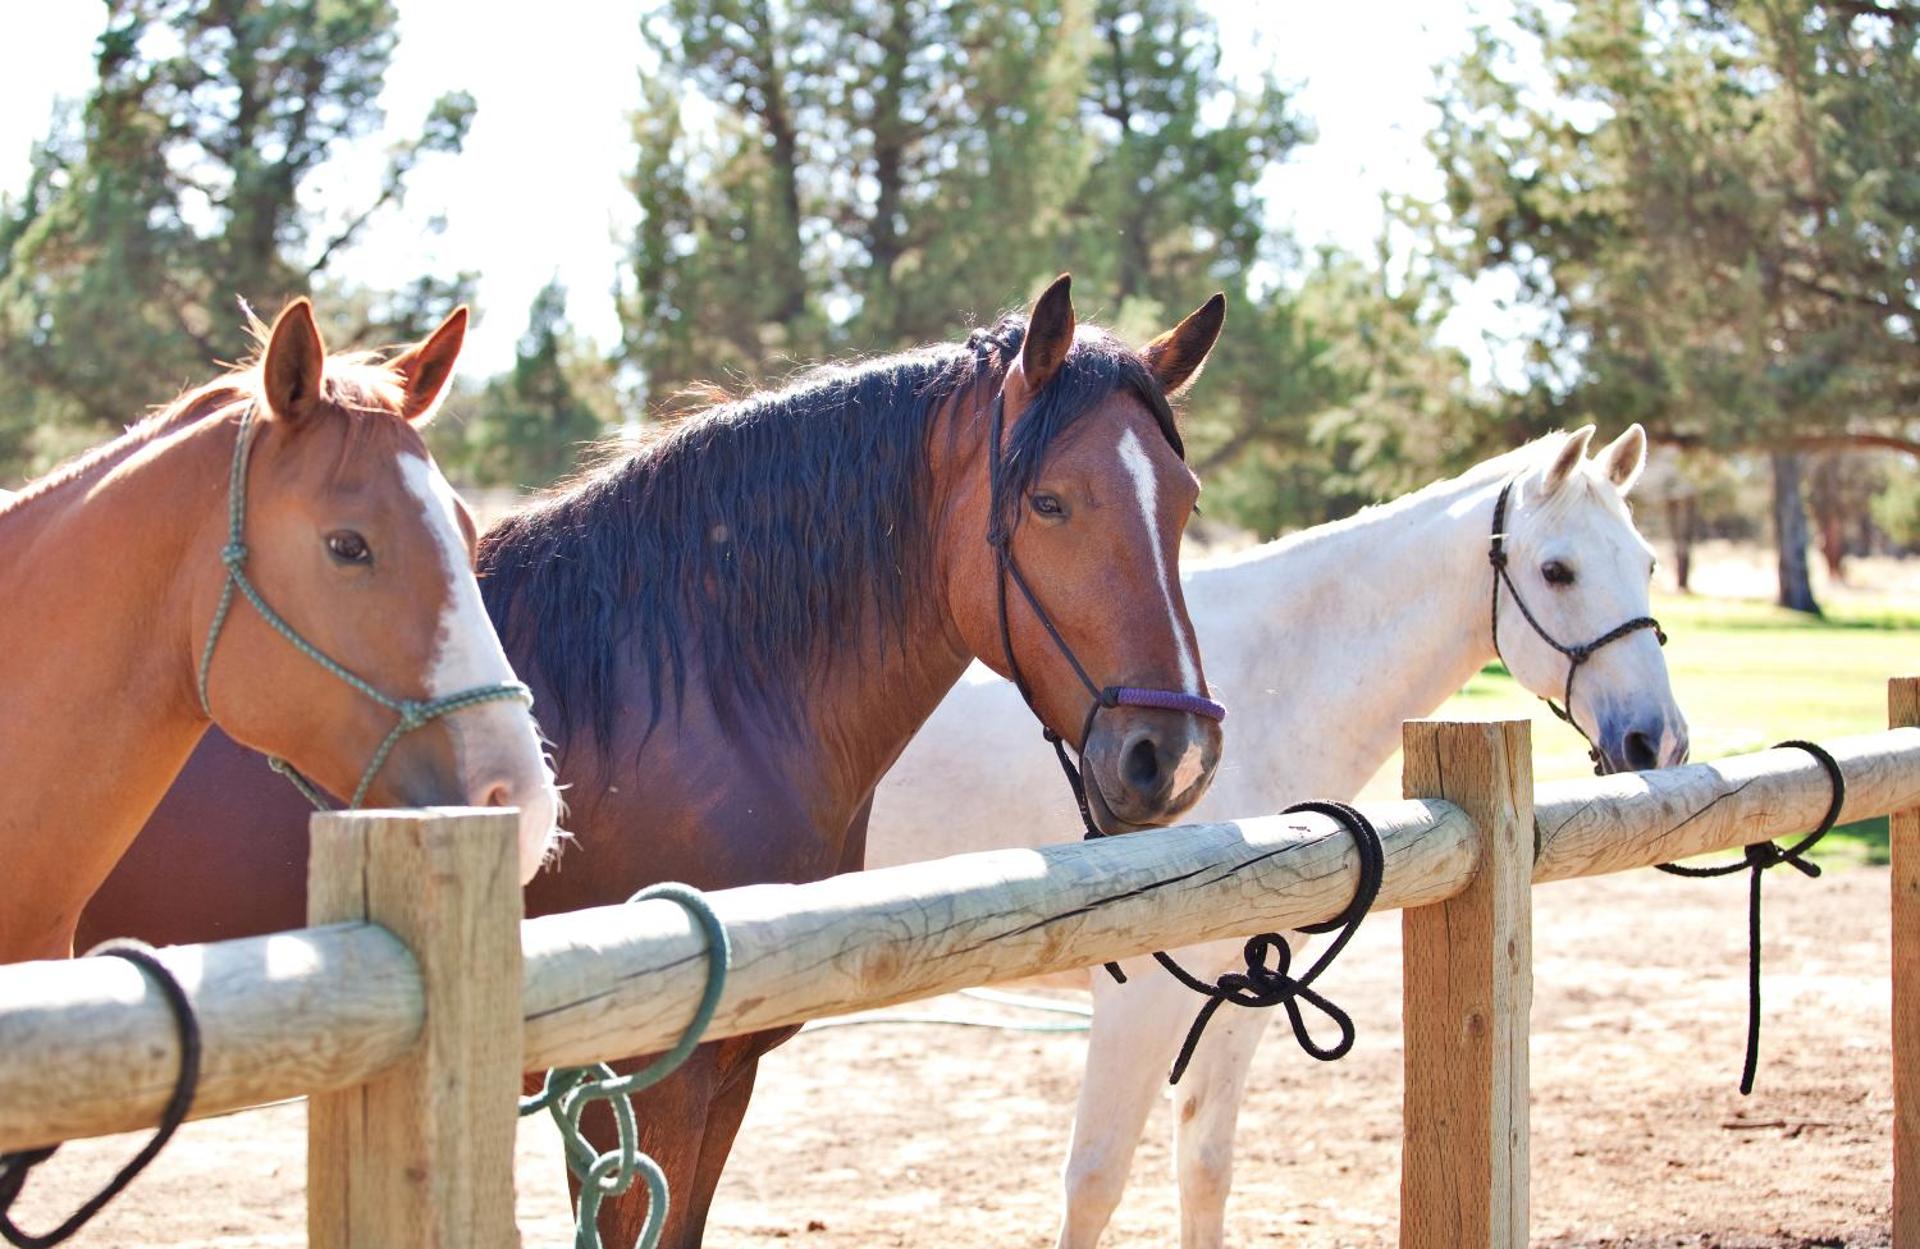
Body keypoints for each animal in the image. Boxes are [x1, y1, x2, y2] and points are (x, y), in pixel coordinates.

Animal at [82, 274, 1231, 1246]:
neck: (690, 691)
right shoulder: (639, 1080)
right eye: (1050, 501)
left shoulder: (721, 1070)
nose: (1169, 752)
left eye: (1184, 501)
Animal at [866, 425, 1689, 1249]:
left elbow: (1205, 1166)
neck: (1265, 684)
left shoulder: (1244, 988)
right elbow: (1094, 1183)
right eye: (1557, 570)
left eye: (1647, 562)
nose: (1658, 740)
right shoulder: (1140, 1000)